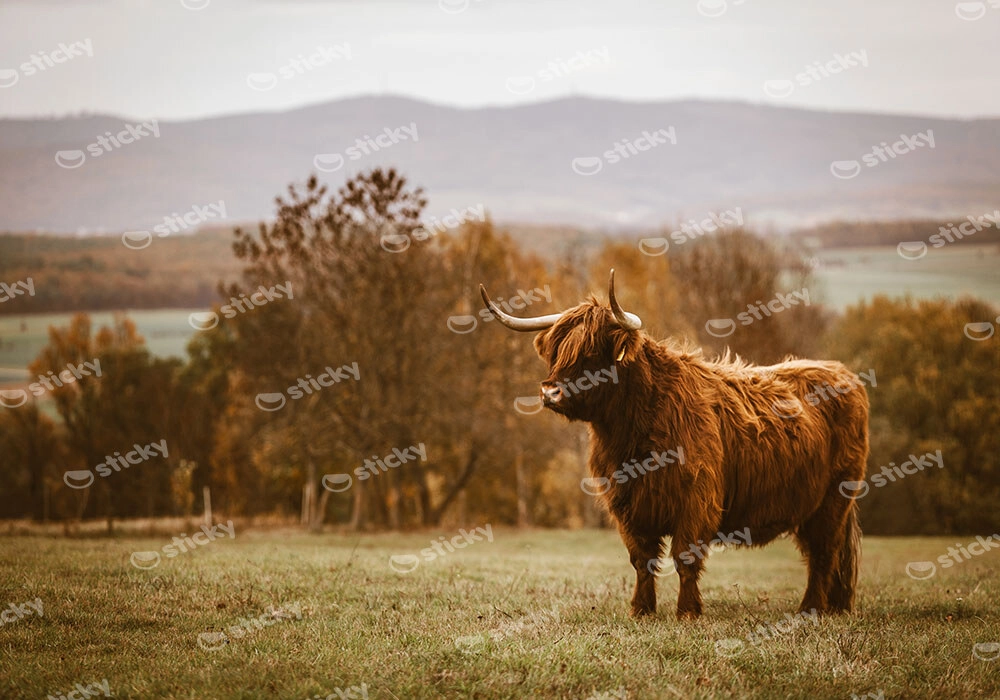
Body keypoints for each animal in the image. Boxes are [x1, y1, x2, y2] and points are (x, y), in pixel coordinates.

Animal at [480, 270, 868, 620]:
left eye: (591, 352)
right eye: (556, 351)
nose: (550, 392)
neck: (633, 432)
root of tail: (842, 373)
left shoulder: (696, 499)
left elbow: (685, 557)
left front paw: (688, 612)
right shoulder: (627, 504)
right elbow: (642, 559)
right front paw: (642, 610)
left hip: (834, 498)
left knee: (823, 552)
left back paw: (811, 609)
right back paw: (833, 606)